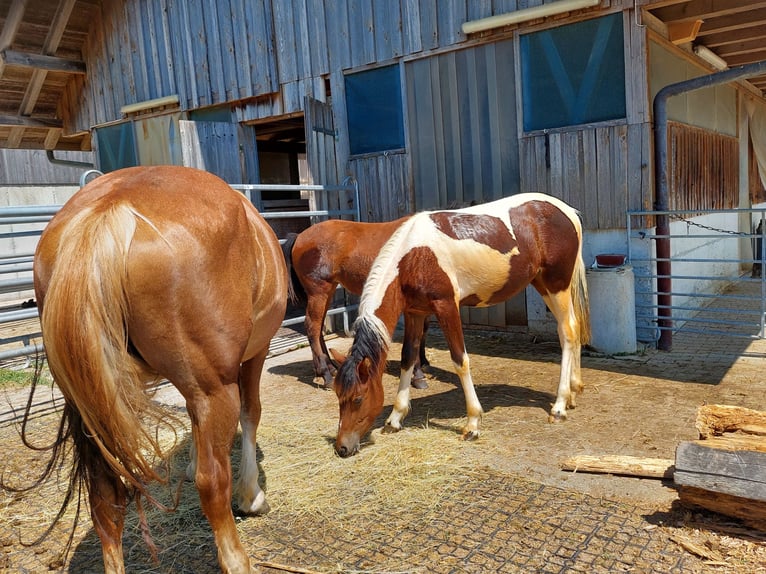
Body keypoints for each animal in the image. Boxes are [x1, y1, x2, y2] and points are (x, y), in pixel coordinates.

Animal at [27, 165, 287, 573]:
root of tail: (109, 207)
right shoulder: (254, 356)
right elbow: (251, 413)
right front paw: (251, 495)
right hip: (215, 388)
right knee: (212, 483)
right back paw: (236, 559)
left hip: (91, 408)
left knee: (104, 500)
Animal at [282, 217, 429, 388]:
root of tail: (299, 236)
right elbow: (415, 337)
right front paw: (417, 374)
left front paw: (423, 363)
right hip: (318, 292)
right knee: (312, 327)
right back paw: (326, 375)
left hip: (327, 292)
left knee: (318, 329)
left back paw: (329, 368)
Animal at [331, 192, 591, 457]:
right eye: (338, 394)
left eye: (358, 398)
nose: (342, 447)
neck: (413, 257)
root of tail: (567, 211)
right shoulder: (415, 312)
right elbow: (408, 358)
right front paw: (395, 418)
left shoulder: (447, 307)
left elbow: (460, 360)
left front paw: (473, 424)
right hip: (544, 283)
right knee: (569, 329)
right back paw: (573, 391)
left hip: (556, 284)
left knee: (568, 331)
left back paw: (559, 406)